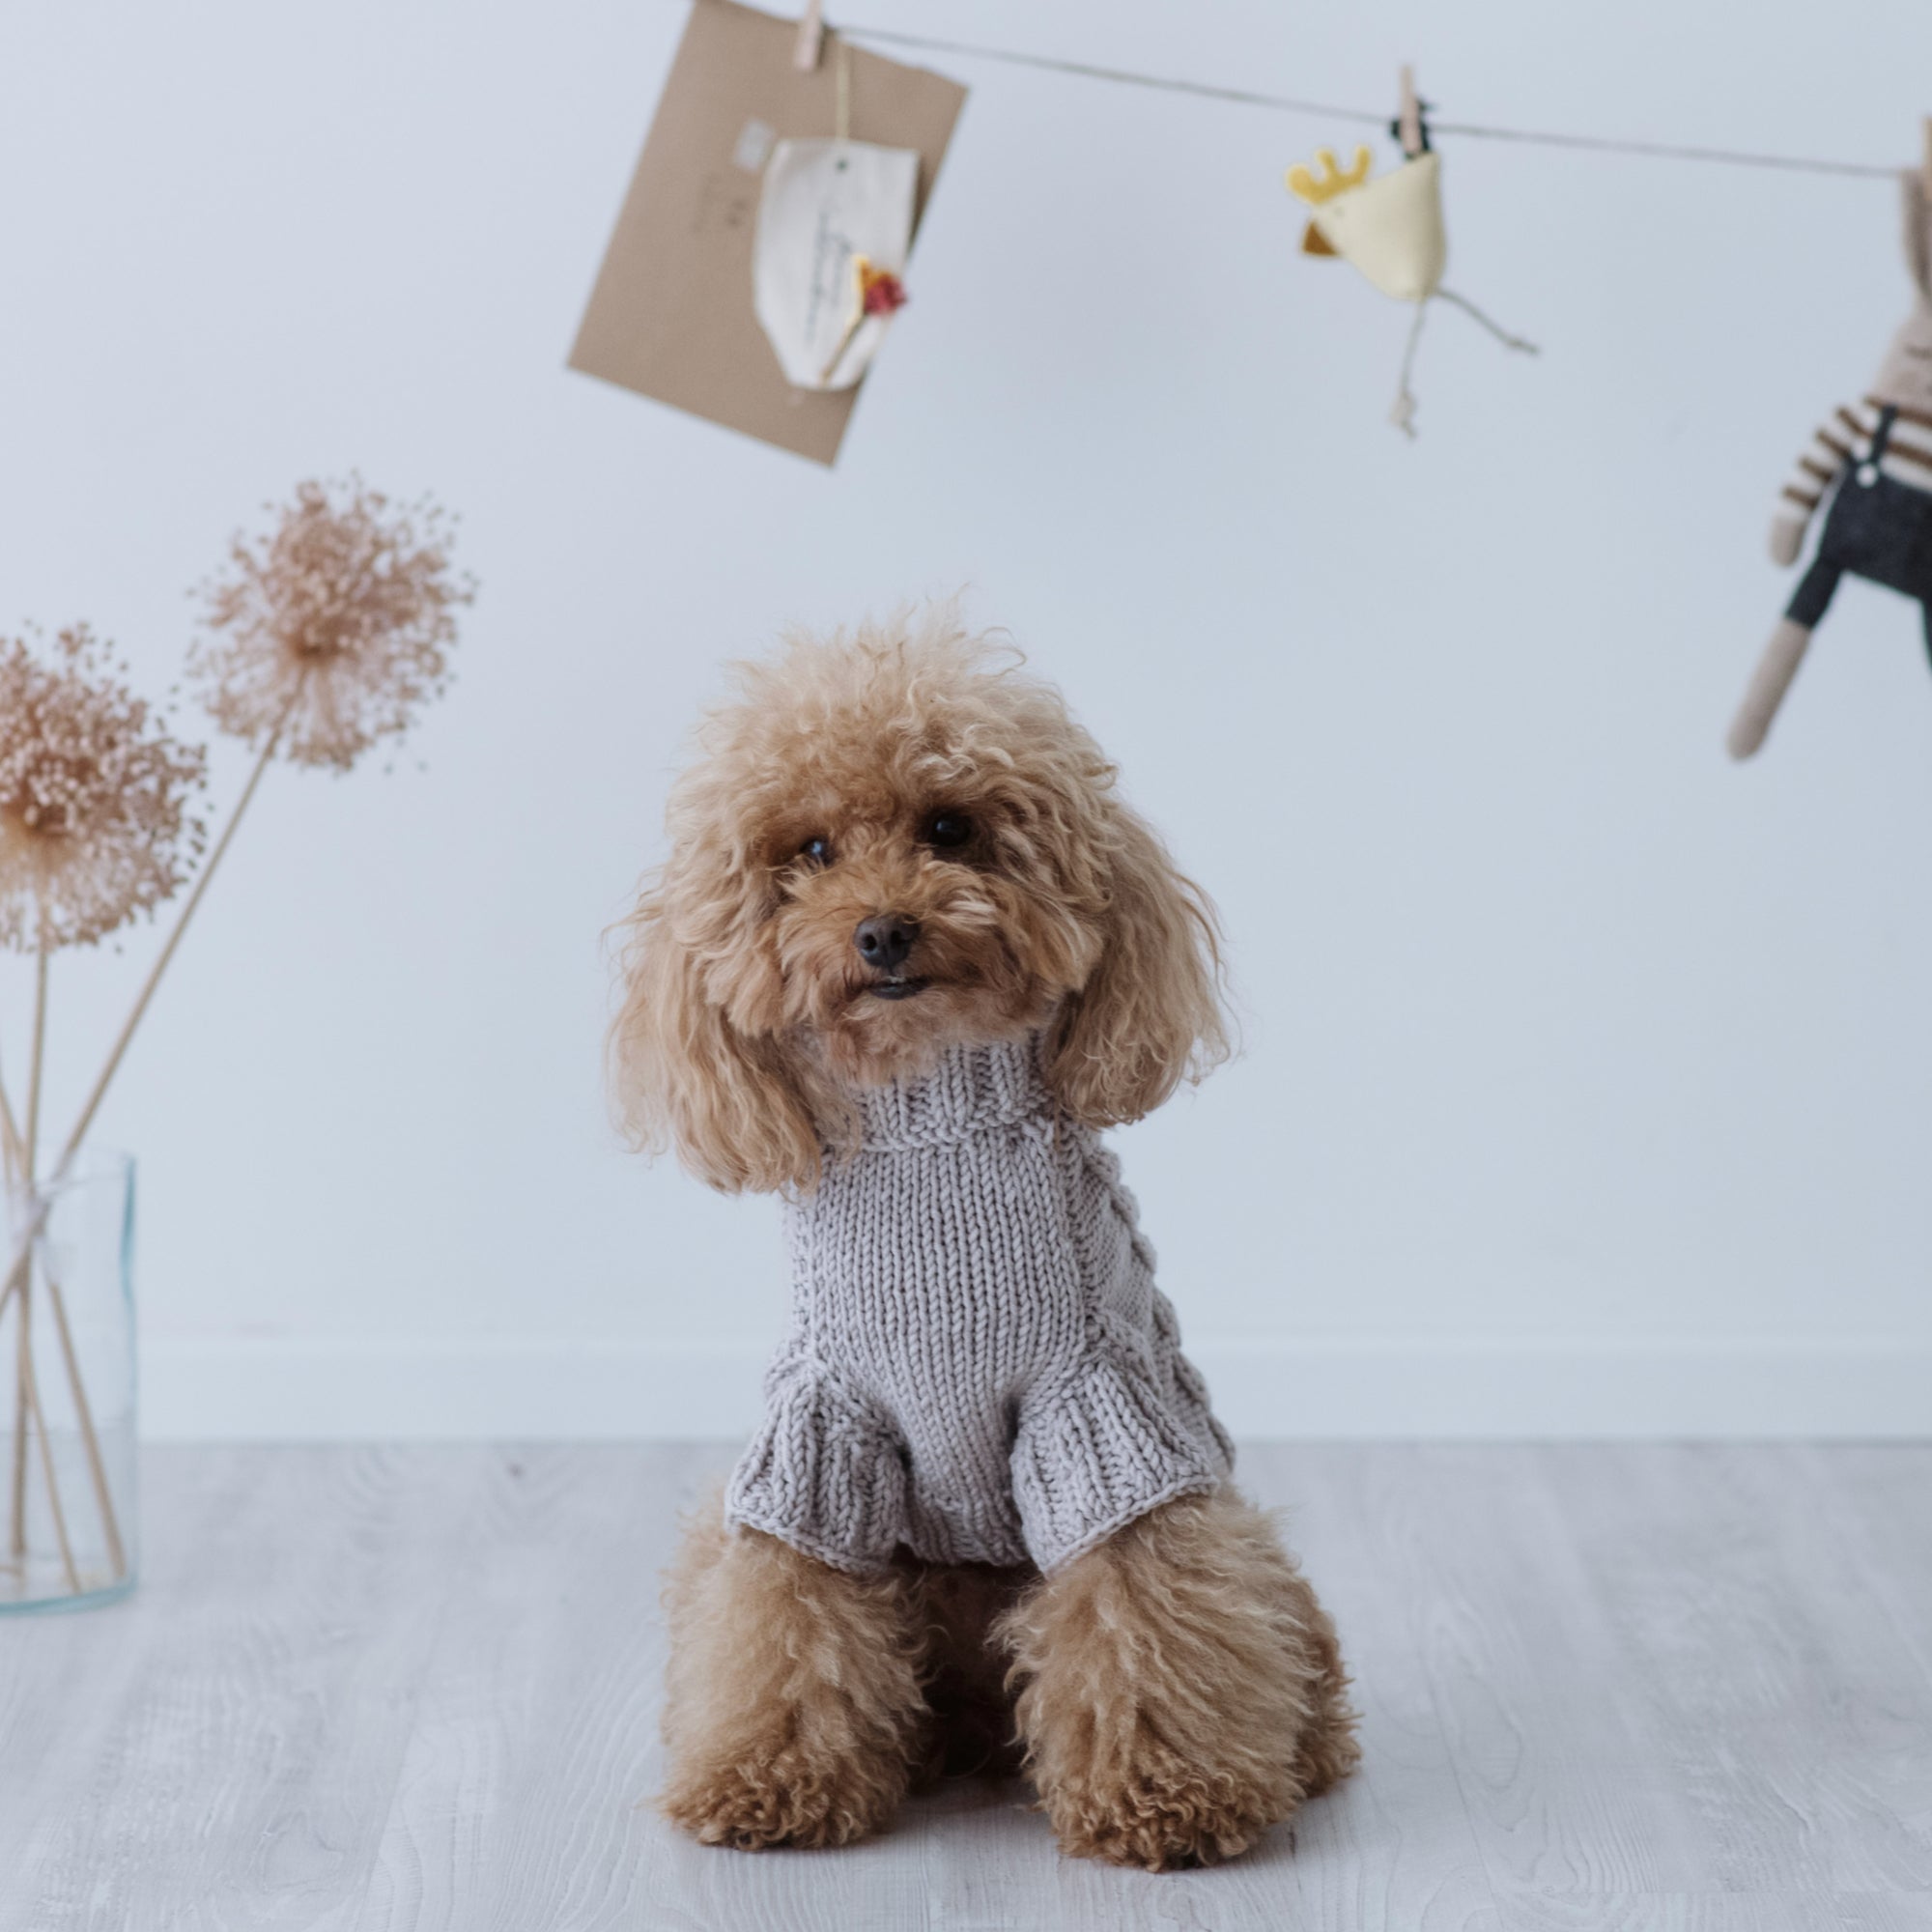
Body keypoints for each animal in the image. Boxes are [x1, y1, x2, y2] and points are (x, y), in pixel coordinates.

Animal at [618, 611, 1360, 1862]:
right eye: (809, 849)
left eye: (948, 826)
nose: (882, 929)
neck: (934, 1124)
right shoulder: (820, 1431)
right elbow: (784, 1604)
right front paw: (765, 1776)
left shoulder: (1098, 1409)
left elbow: (1135, 1598)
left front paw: (1168, 1793)